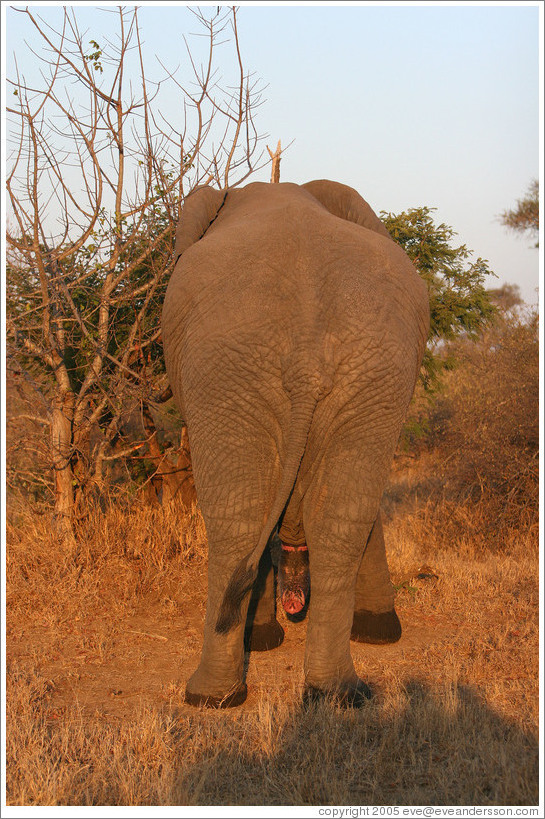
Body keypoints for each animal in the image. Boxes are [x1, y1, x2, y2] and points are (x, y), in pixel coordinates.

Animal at [162, 179, 429, 708]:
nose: (294, 604)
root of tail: (306, 355)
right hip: (367, 373)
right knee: (336, 520)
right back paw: (335, 693)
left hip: (230, 369)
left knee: (240, 522)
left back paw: (211, 697)